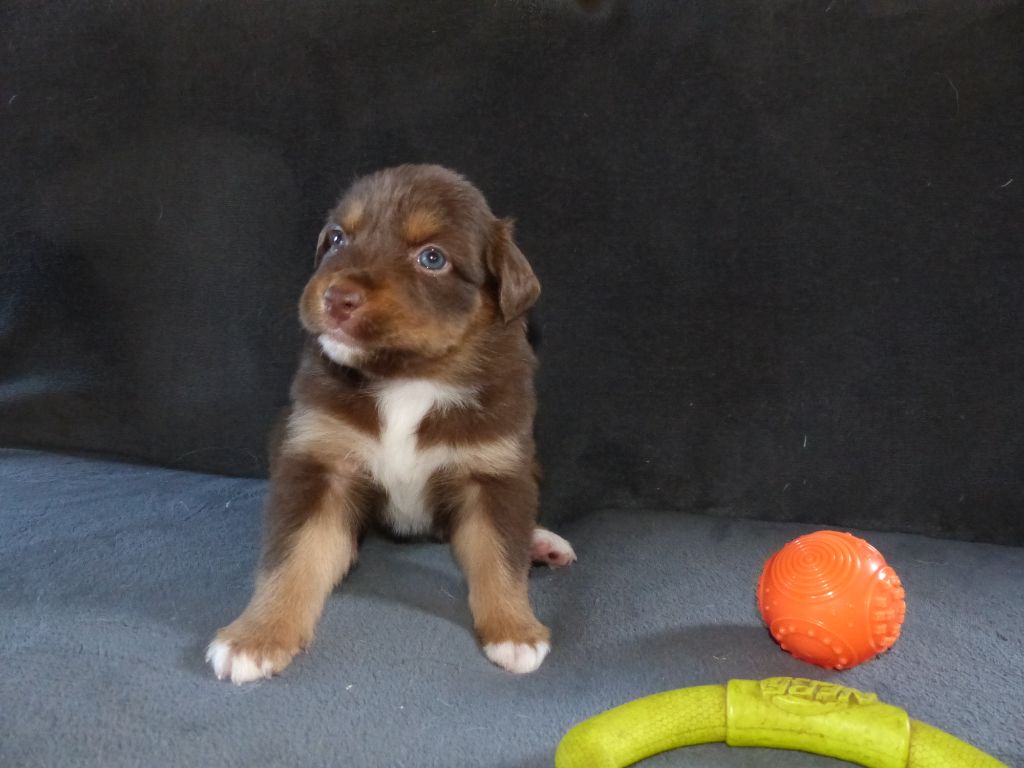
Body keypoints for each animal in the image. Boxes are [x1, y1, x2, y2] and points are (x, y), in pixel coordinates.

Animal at [207, 164, 576, 684]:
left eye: (432, 257)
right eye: (337, 238)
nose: (337, 297)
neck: (408, 378)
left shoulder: (494, 470)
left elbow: (499, 557)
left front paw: (514, 630)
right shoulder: (320, 464)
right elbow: (293, 558)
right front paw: (257, 636)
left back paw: (541, 543)